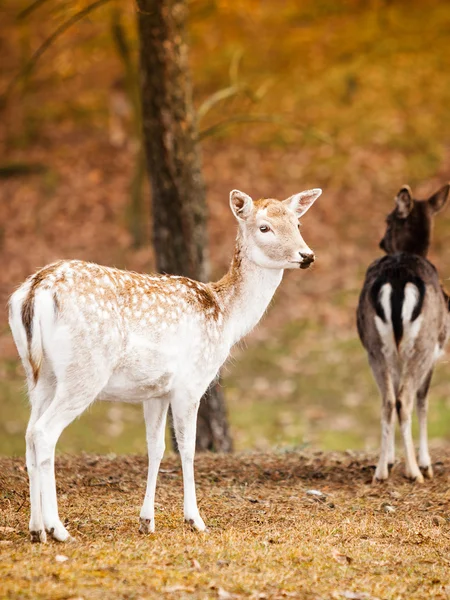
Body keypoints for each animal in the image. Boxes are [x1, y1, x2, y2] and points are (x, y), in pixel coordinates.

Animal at [8, 188, 322, 544]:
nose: (307, 255)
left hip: (37, 374)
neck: (225, 317)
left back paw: (36, 529)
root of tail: (35, 290)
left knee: (29, 434)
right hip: (83, 371)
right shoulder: (191, 382)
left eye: (297, 222)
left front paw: (147, 521)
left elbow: (156, 448)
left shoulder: (155, 391)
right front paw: (195, 519)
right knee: (44, 433)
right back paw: (57, 529)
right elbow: (187, 448)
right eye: (264, 227)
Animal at [356, 183, 448, 482]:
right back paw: (414, 471)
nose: (381, 242)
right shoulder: (435, 354)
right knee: (405, 399)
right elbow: (423, 401)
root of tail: (397, 280)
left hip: (375, 346)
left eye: (387, 220)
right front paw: (425, 463)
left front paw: (390, 458)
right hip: (422, 344)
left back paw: (381, 471)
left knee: (388, 400)